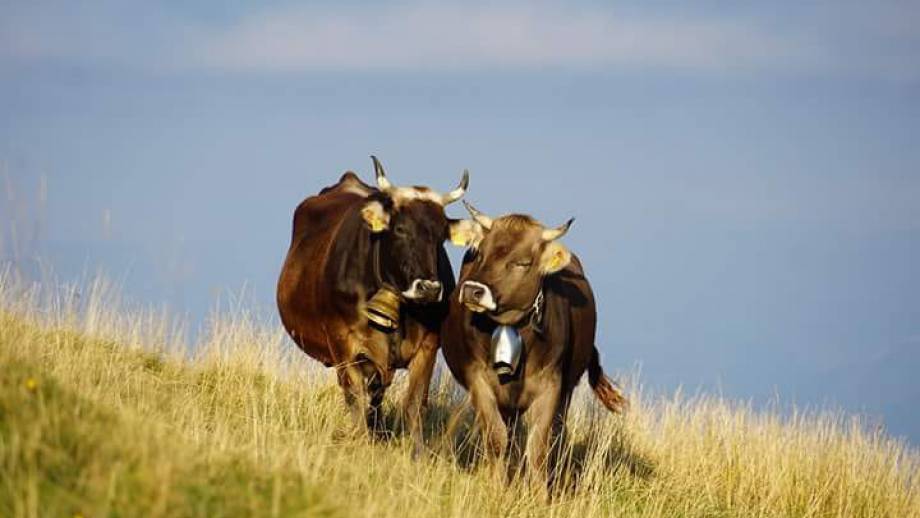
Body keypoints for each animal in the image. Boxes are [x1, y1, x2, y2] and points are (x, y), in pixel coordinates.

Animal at [276, 158, 470, 456]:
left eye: (441, 238)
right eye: (400, 229)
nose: (428, 288)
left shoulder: (427, 345)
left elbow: (414, 403)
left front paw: (417, 453)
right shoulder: (343, 344)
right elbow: (355, 397)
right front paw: (360, 442)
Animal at [438, 203, 624, 488]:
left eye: (522, 262)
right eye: (480, 253)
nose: (472, 291)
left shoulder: (551, 385)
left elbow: (538, 446)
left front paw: (539, 493)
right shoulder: (478, 380)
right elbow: (496, 439)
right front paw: (497, 486)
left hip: (566, 391)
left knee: (557, 434)